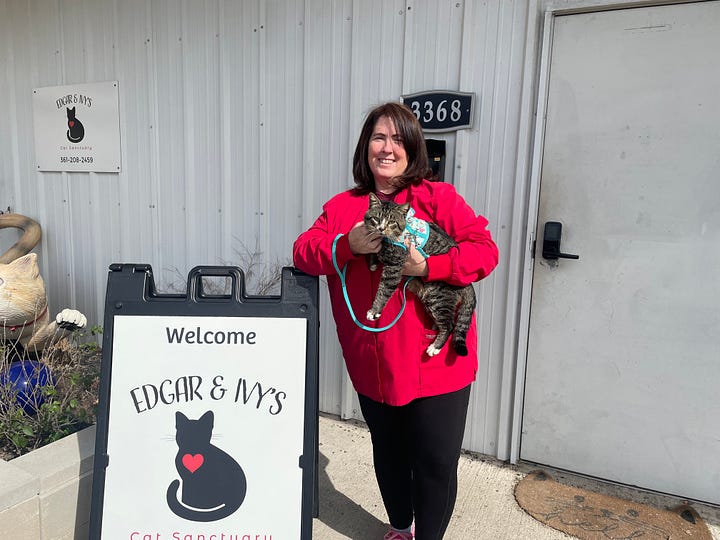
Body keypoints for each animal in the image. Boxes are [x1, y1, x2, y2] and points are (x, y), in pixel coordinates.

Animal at [362, 192, 476, 356]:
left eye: (391, 222)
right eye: (376, 218)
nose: (381, 229)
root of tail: (468, 284)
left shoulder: (394, 267)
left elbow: (383, 291)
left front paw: (374, 311)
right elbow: (373, 249)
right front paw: (373, 262)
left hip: (438, 297)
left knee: (450, 325)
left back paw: (435, 347)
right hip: (431, 299)